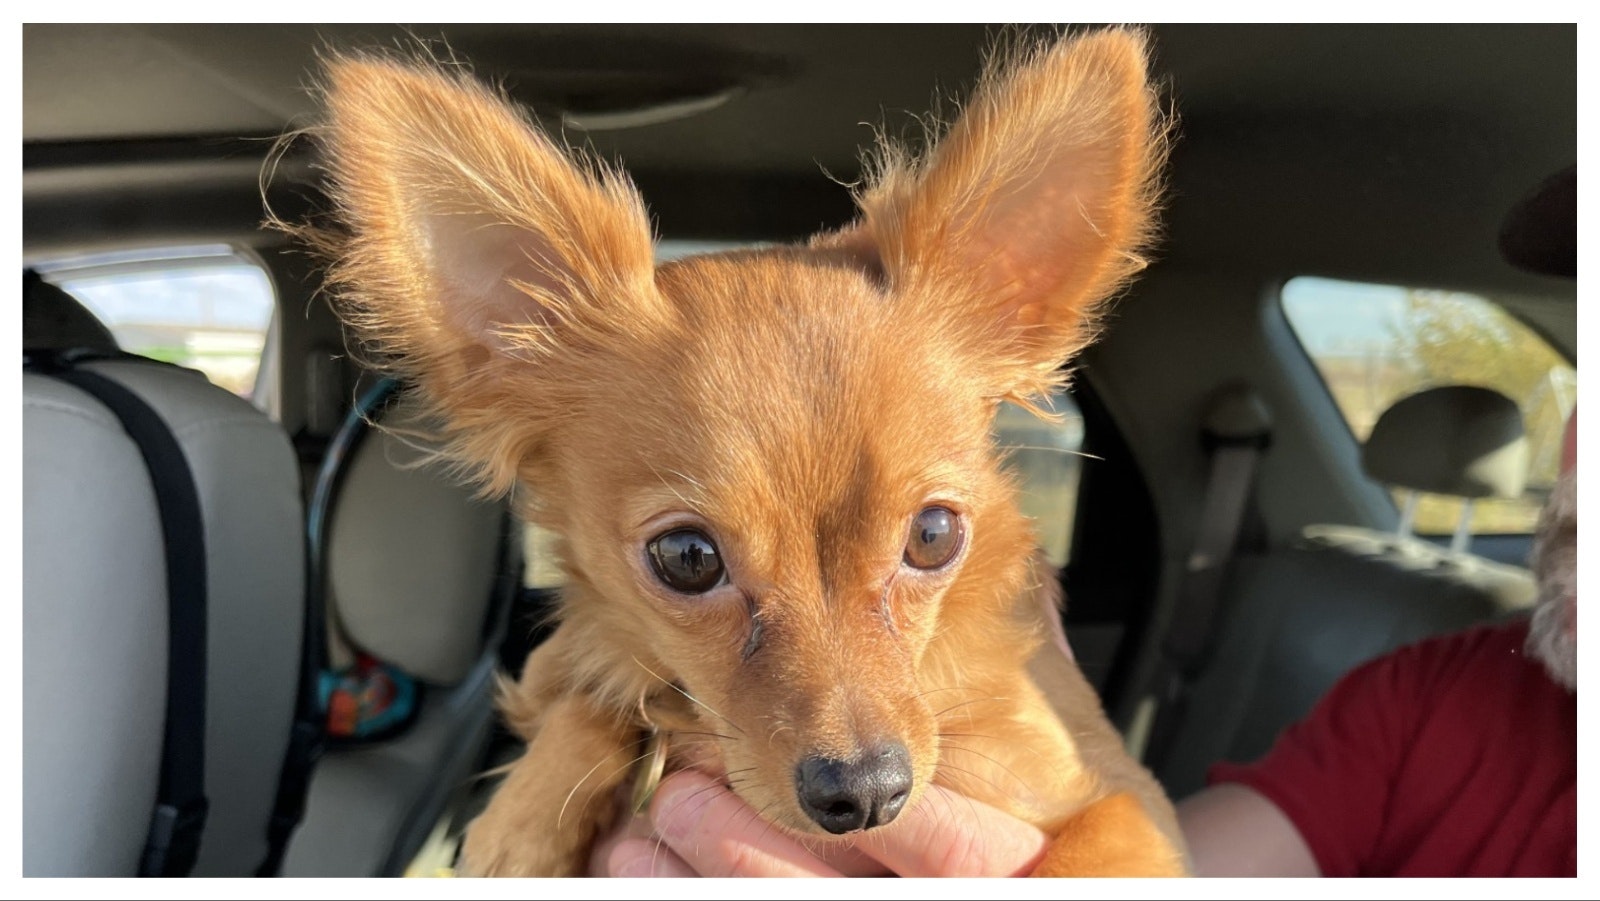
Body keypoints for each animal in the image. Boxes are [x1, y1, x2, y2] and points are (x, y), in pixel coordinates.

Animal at [302, 22, 1190, 883]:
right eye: (687, 558)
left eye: (935, 536)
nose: (866, 791)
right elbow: (604, 682)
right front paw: (529, 810)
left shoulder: (1126, 799)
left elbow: (1082, 855)